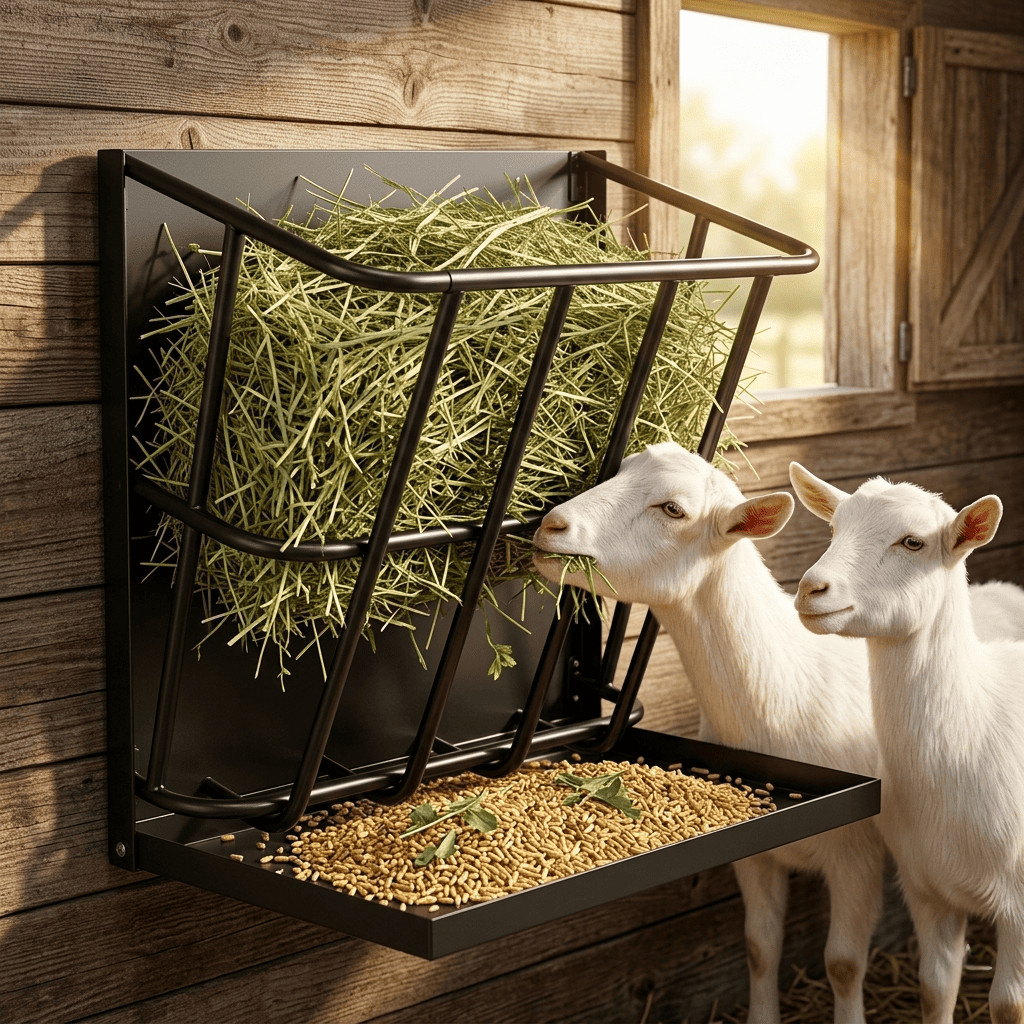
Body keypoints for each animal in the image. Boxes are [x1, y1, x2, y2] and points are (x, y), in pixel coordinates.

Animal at [790, 463, 1024, 1024]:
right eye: (835, 528)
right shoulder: (927, 889)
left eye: (913, 542)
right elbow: (934, 990)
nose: (811, 589)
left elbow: (1008, 1006)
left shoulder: (1022, 907)